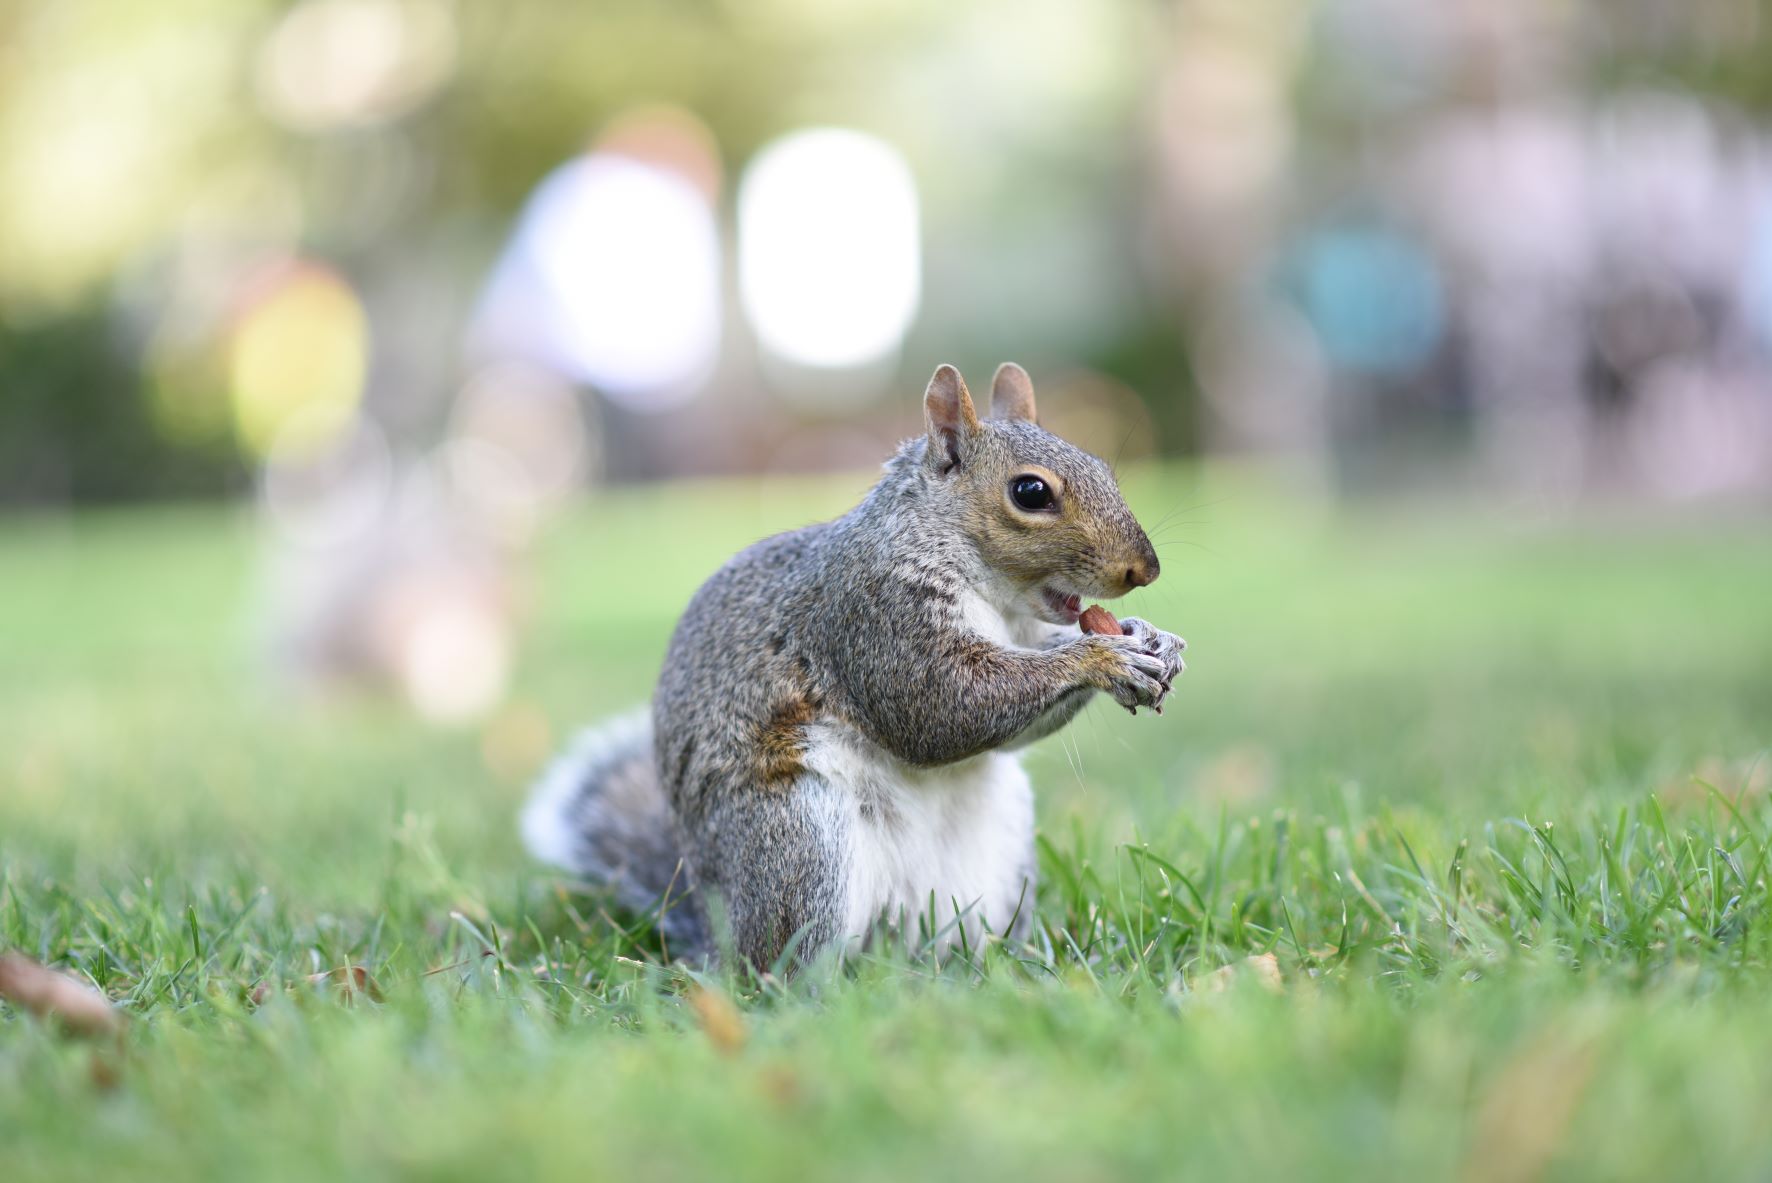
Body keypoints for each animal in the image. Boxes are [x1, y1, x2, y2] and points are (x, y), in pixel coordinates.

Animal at [522, 363, 1186, 968]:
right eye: (1031, 493)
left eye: (1104, 469)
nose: (1145, 569)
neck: (993, 595)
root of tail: (715, 933)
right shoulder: (873, 614)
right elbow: (944, 707)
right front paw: (1104, 656)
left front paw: (1150, 639)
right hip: (798, 843)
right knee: (782, 966)